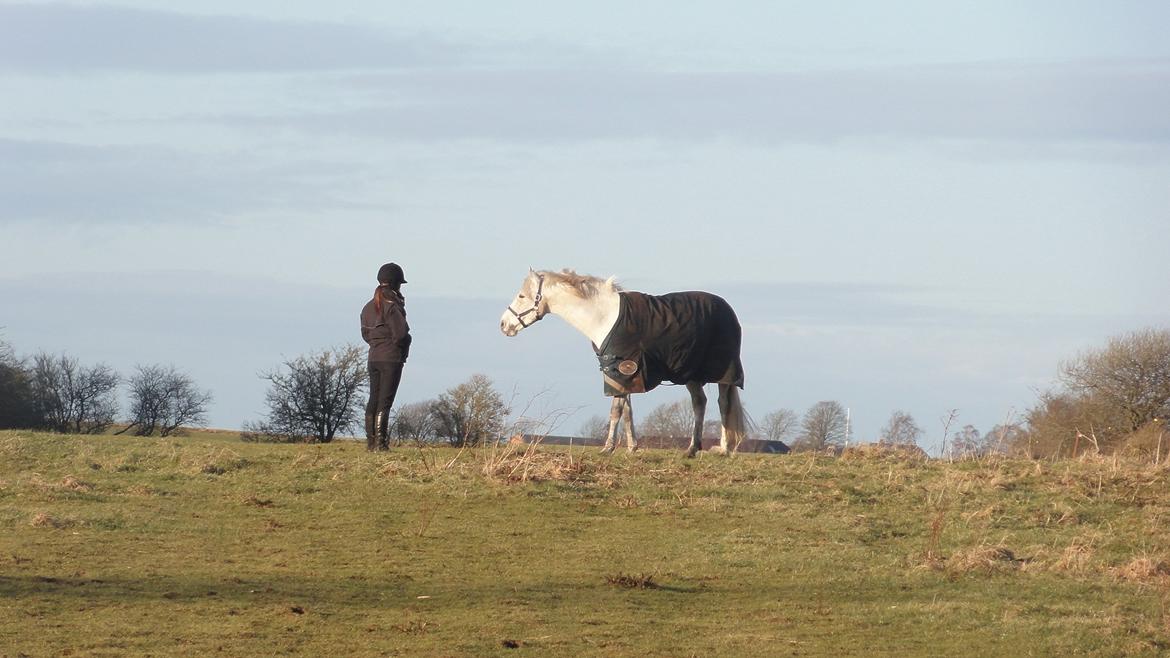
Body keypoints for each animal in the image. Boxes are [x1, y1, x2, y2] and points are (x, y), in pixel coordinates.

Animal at [498, 266, 744, 456]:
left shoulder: (623, 370)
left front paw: (608, 448)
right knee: (699, 403)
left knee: (723, 403)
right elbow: (626, 410)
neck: (604, 317)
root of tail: (728, 310)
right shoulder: (619, 373)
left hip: (723, 375)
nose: (504, 324)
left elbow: (615, 410)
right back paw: (693, 449)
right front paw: (631, 447)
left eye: (521, 296)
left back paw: (724, 449)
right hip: (691, 374)